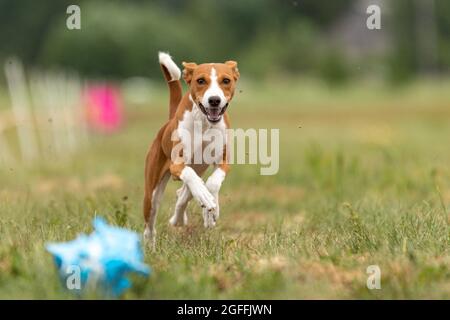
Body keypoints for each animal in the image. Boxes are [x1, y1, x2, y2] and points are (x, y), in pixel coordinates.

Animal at [144, 52, 239, 248]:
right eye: (200, 80)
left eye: (226, 80)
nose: (214, 100)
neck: (204, 123)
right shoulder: (176, 165)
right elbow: (189, 176)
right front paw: (205, 198)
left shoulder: (224, 159)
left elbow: (213, 182)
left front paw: (211, 209)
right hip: (151, 194)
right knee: (149, 225)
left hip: (199, 167)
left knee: (185, 192)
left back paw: (186, 216)